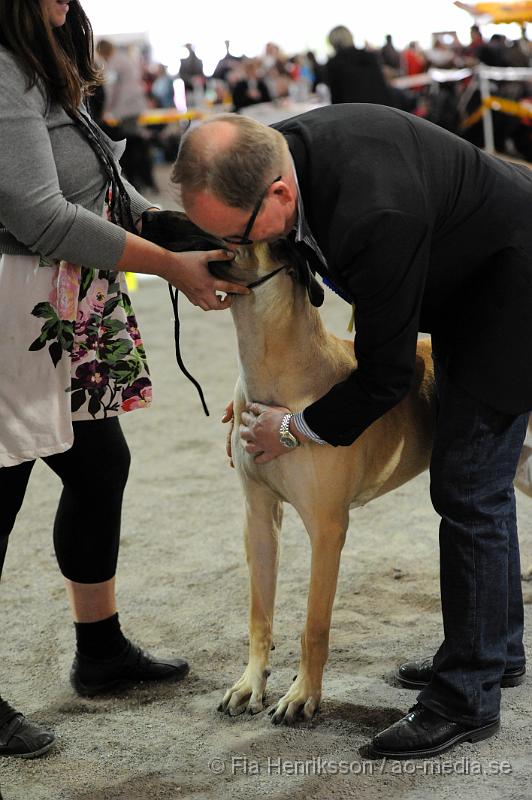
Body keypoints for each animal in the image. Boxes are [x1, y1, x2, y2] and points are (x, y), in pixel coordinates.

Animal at [217, 241, 436, 720]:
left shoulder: (327, 527)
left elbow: (314, 625)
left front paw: (303, 695)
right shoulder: (258, 514)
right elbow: (259, 614)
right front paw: (250, 683)